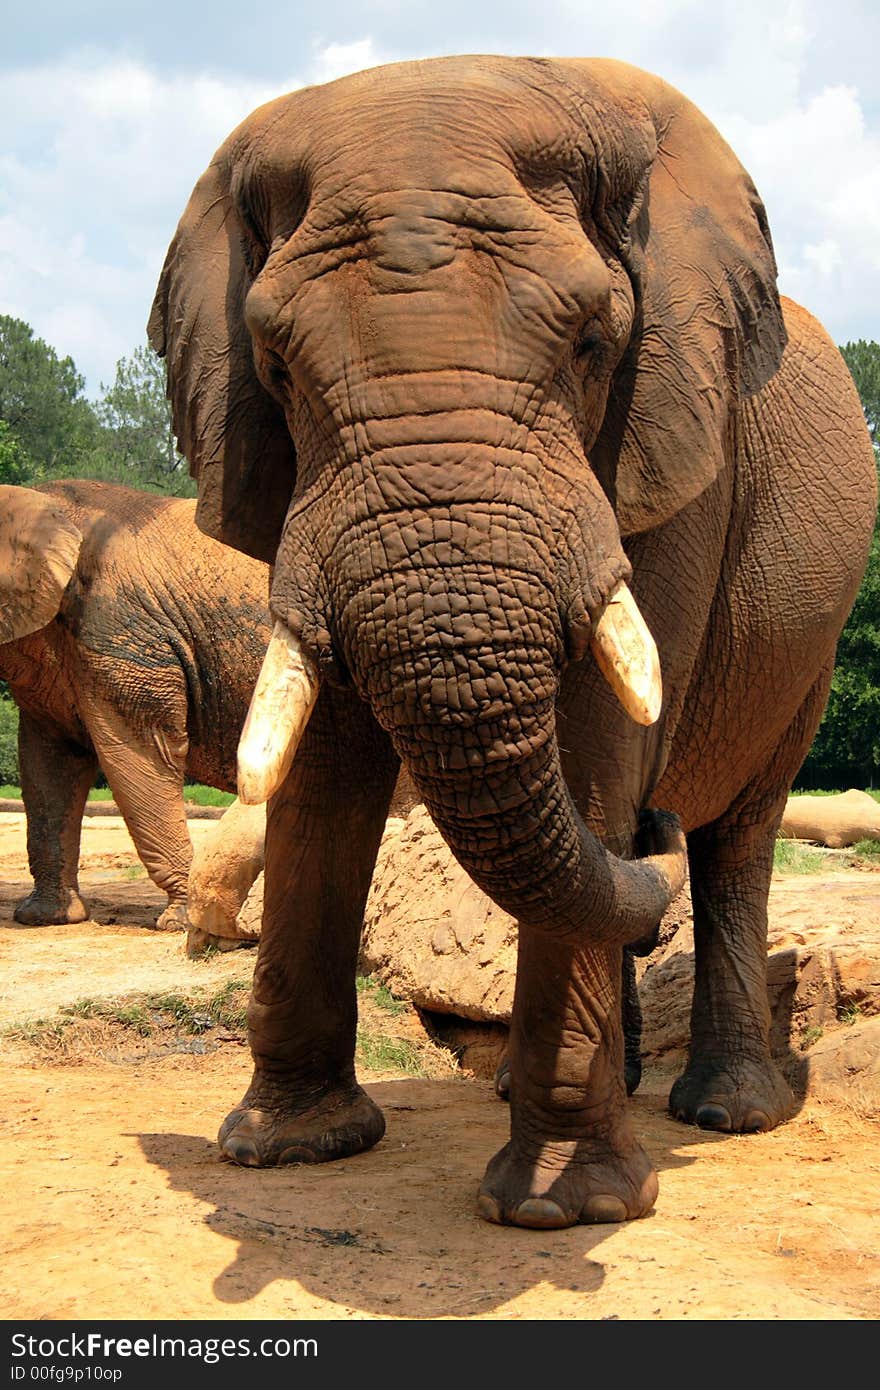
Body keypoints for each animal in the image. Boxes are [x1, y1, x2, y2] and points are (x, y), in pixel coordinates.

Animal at [147, 54, 873, 1228]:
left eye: (591, 344)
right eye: (276, 365)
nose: (654, 829)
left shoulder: (669, 436)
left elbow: (594, 740)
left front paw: (562, 1211)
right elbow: (324, 760)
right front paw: (286, 1149)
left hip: (812, 636)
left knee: (737, 833)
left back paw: (726, 1110)